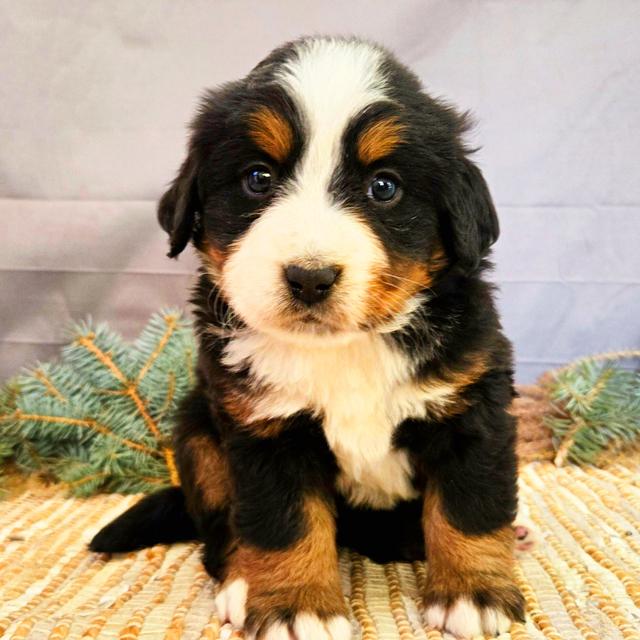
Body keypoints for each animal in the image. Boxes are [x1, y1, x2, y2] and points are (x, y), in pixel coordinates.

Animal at [94, 36, 524, 640]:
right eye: (257, 178)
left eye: (384, 186)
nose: (310, 277)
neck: (344, 351)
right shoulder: (264, 426)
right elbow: (284, 522)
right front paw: (298, 605)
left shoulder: (472, 404)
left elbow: (471, 504)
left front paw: (473, 592)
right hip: (197, 431)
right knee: (220, 533)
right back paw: (241, 584)